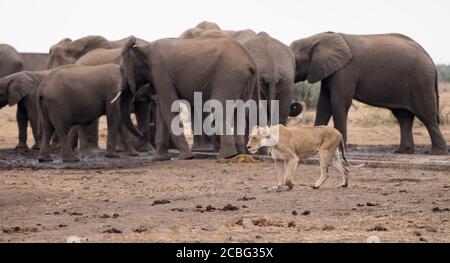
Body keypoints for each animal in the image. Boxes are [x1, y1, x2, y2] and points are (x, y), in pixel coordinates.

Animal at [116, 37, 258, 161]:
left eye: (121, 70)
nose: (140, 134)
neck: (144, 48)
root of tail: (250, 59)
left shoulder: (160, 73)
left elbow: (169, 108)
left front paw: (185, 157)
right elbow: (162, 111)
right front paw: (159, 159)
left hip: (228, 76)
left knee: (219, 108)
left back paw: (225, 156)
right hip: (244, 81)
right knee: (240, 111)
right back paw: (240, 155)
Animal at [290, 33, 448, 157]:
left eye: (294, 62)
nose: (296, 104)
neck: (316, 38)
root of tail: (431, 60)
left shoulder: (346, 71)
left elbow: (338, 103)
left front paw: (339, 150)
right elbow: (323, 105)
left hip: (420, 82)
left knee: (427, 116)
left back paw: (438, 153)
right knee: (403, 116)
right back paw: (403, 151)